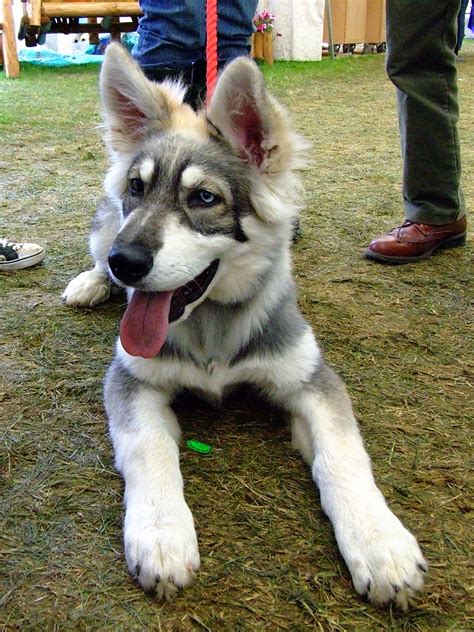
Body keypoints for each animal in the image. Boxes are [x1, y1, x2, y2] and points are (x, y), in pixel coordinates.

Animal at [61, 44, 428, 608]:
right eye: (138, 187)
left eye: (204, 199)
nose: (128, 264)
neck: (211, 324)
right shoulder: (130, 380)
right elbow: (148, 446)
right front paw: (161, 534)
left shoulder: (311, 379)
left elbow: (342, 456)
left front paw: (380, 543)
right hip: (105, 229)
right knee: (97, 250)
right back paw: (92, 281)